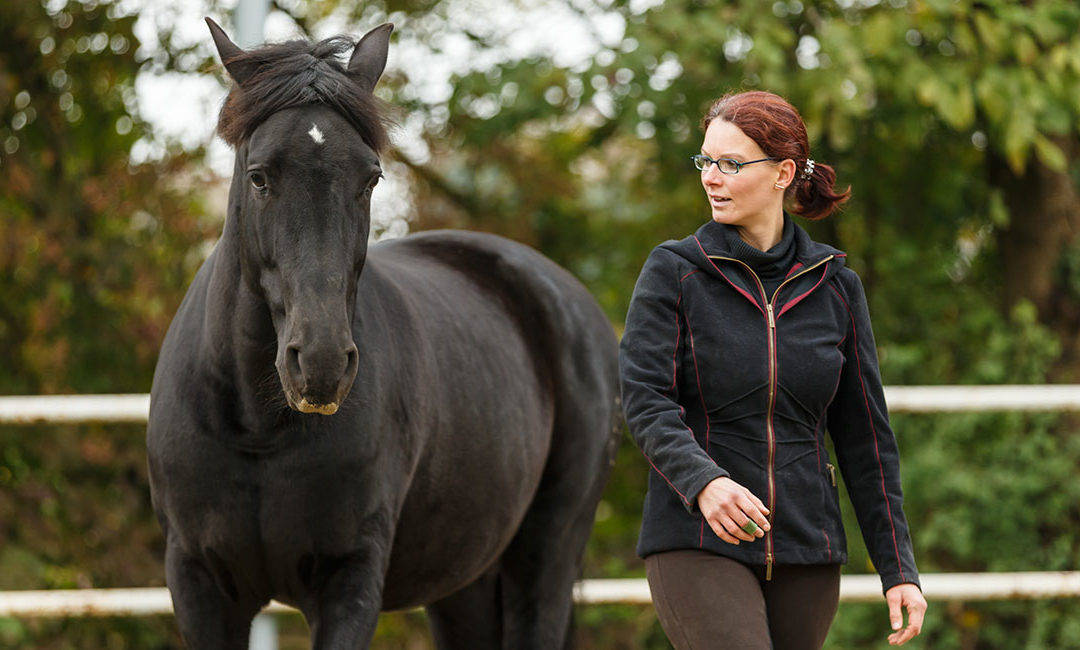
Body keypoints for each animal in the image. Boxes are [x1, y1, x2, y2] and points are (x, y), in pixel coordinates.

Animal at [150, 17, 626, 643]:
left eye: (371, 179)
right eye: (258, 178)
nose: (321, 363)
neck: (257, 429)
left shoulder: (349, 580)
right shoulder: (199, 586)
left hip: (544, 559)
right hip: (464, 581)